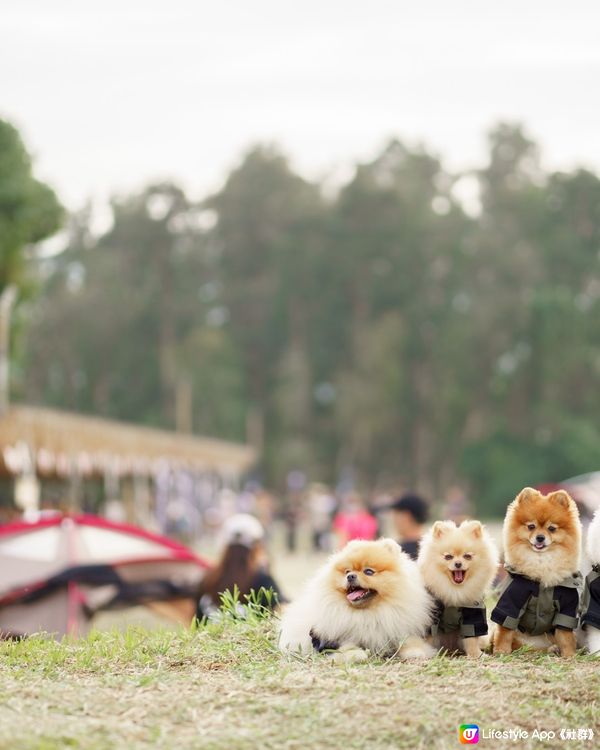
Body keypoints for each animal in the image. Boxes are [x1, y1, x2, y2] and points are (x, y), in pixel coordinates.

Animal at [278, 540, 434, 664]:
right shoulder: (330, 642)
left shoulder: (397, 631)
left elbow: (410, 643)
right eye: (347, 571)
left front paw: (416, 652)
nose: (350, 576)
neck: (369, 614)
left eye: (369, 572)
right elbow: (345, 649)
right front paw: (356, 654)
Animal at [418, 524, 496, 656]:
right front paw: (427, 651)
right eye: (448, 557)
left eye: (467, 556)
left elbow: (471, 638)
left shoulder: (472, 612)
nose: (458, 563)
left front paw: (476, 654)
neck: (455, 591)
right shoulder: (433, 613)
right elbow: (430, 635)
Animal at [492, 488, 580, 656]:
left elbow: (565, 635)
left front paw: (569, 654)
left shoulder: (566, 607)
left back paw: (554, 649)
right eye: (531, 526)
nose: (540, 537)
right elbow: (505, 629)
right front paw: (501, 651)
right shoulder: (512, 601)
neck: (541, 562)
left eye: (551, 528)